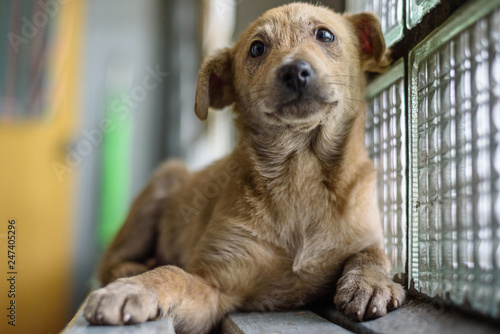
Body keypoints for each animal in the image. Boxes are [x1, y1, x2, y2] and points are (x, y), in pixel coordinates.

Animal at [84, 3, 404, 334]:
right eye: (257, 48)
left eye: (325, 35)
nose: (294, 71)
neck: (300, 169)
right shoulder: (213, 286)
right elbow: (172, 273)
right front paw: (133, 289)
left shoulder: (364, 231)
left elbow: (373, 252)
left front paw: (370, 281)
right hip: (162, 182)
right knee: (110, 261)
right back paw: (132, 271)